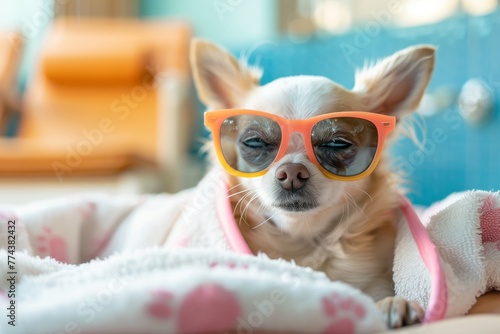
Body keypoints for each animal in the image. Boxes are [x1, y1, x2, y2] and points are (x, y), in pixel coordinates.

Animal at [190, 37, 434, 328]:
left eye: (338, 143)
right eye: (255, 142)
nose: (292, 172)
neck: (303, 240)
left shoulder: (375, 279)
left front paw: (394, 303)